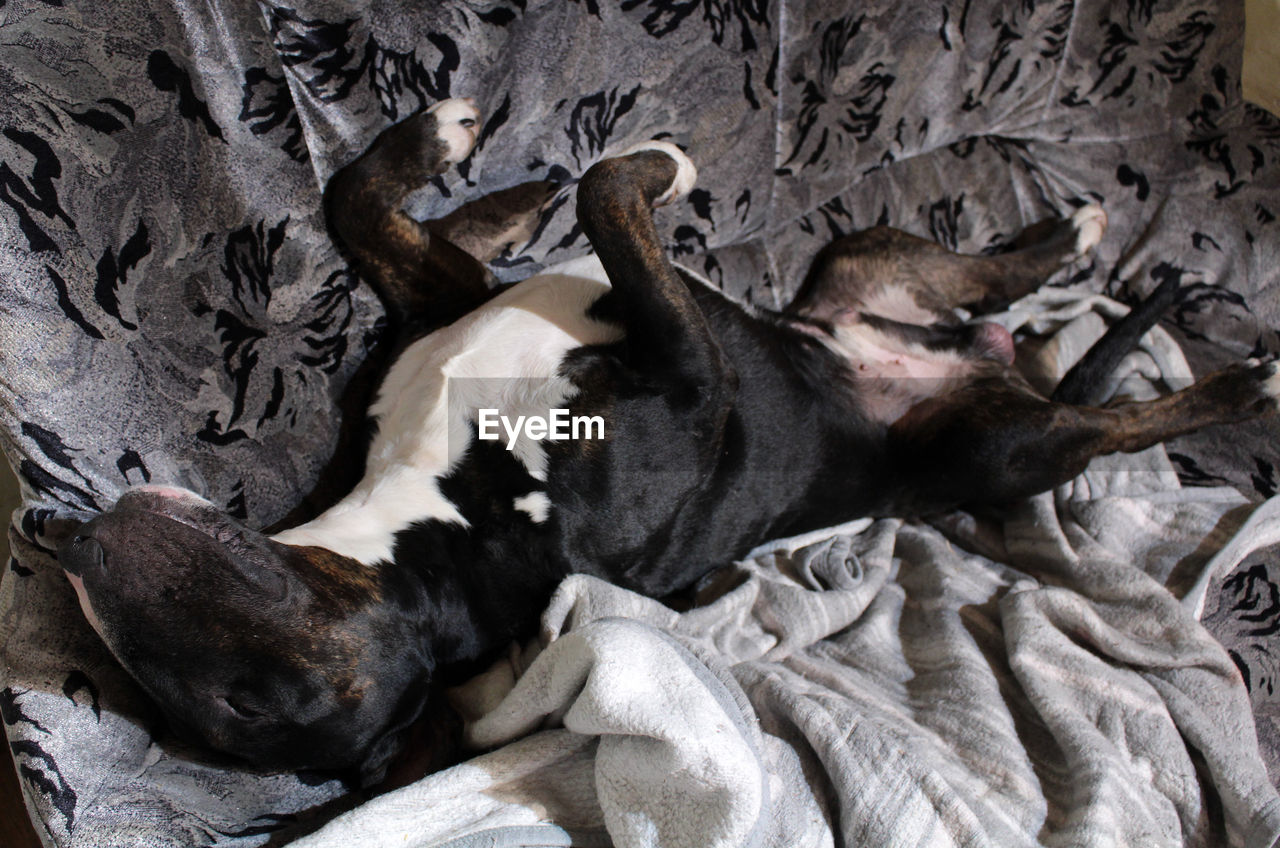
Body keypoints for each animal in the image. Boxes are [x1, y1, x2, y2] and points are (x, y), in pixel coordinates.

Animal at [60, 96, 1280, 789]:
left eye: (245, 703)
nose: (73, 550)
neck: (436, 519)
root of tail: (970, 365)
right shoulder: (687, 375)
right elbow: (607, 197)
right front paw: (636, 168)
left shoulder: (462, 310)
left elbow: (374, 202)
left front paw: (479, 165)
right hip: (998, 449)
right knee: (1106, 415)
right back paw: (1235, 376)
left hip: (866, 259)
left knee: (987, 279)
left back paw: (1075, 234)